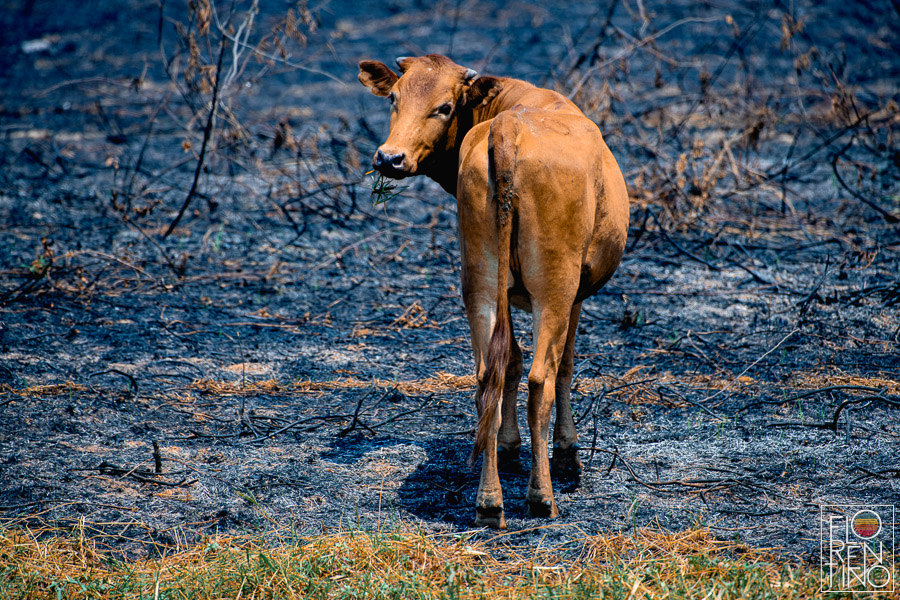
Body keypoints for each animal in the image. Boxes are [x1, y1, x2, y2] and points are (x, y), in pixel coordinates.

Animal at [356, 54, 624, 528]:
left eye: (444, 107)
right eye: (393, 98)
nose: (389, 158)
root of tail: (507, 129)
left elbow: (510, 362)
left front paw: (509, 446)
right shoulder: (574, 295)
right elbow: (563, 366)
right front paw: (567, 453)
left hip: (478, 280)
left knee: (488, 378)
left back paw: (488, 501)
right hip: (554, 285)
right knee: (542, 378)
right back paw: (541, 497)